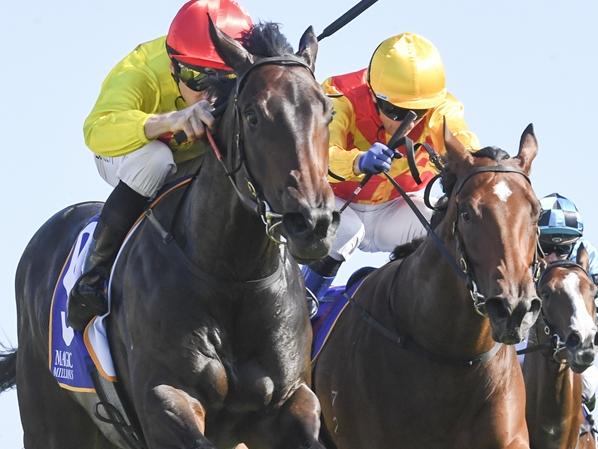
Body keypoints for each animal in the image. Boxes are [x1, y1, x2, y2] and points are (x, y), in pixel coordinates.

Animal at [0, 20, 340, 448]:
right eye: (252, 115)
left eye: (327, 112)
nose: (312, 223)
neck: (233, 277)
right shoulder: (163, 400)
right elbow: (104, 122)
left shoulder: (291, 399)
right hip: (50, 421)